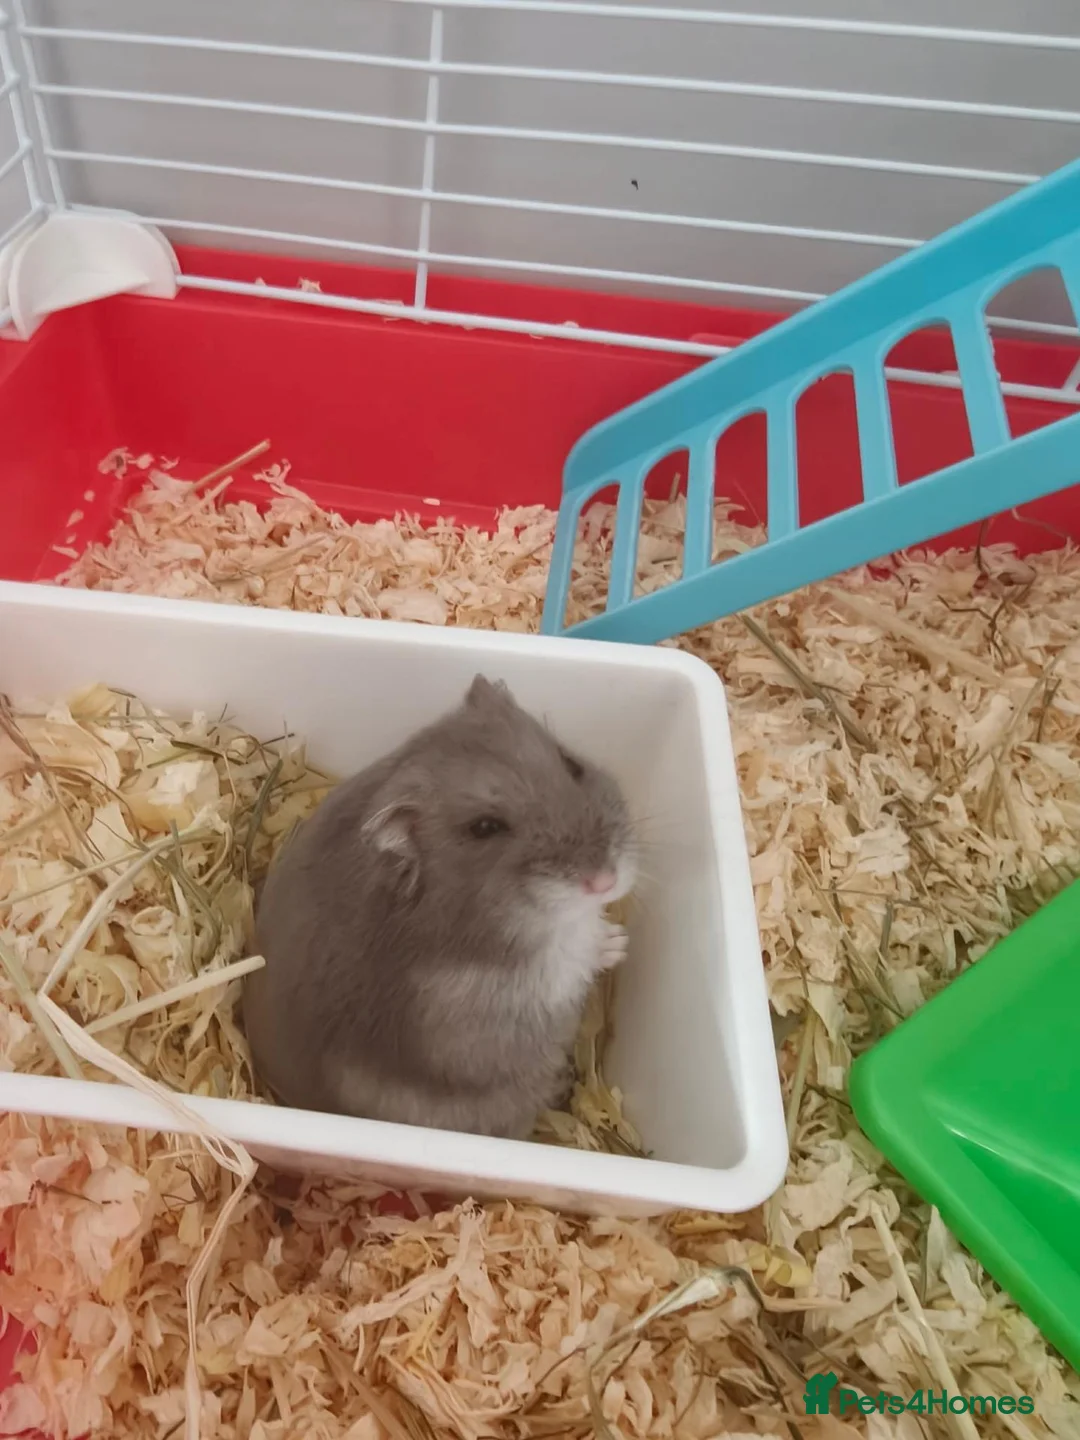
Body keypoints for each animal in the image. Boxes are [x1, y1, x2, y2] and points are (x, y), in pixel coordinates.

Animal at [242, 674, 636, 1140]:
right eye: (485, 828)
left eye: (571, 764)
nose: (605, 881)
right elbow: (577, 956)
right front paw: (619, 943)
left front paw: (618, 936)